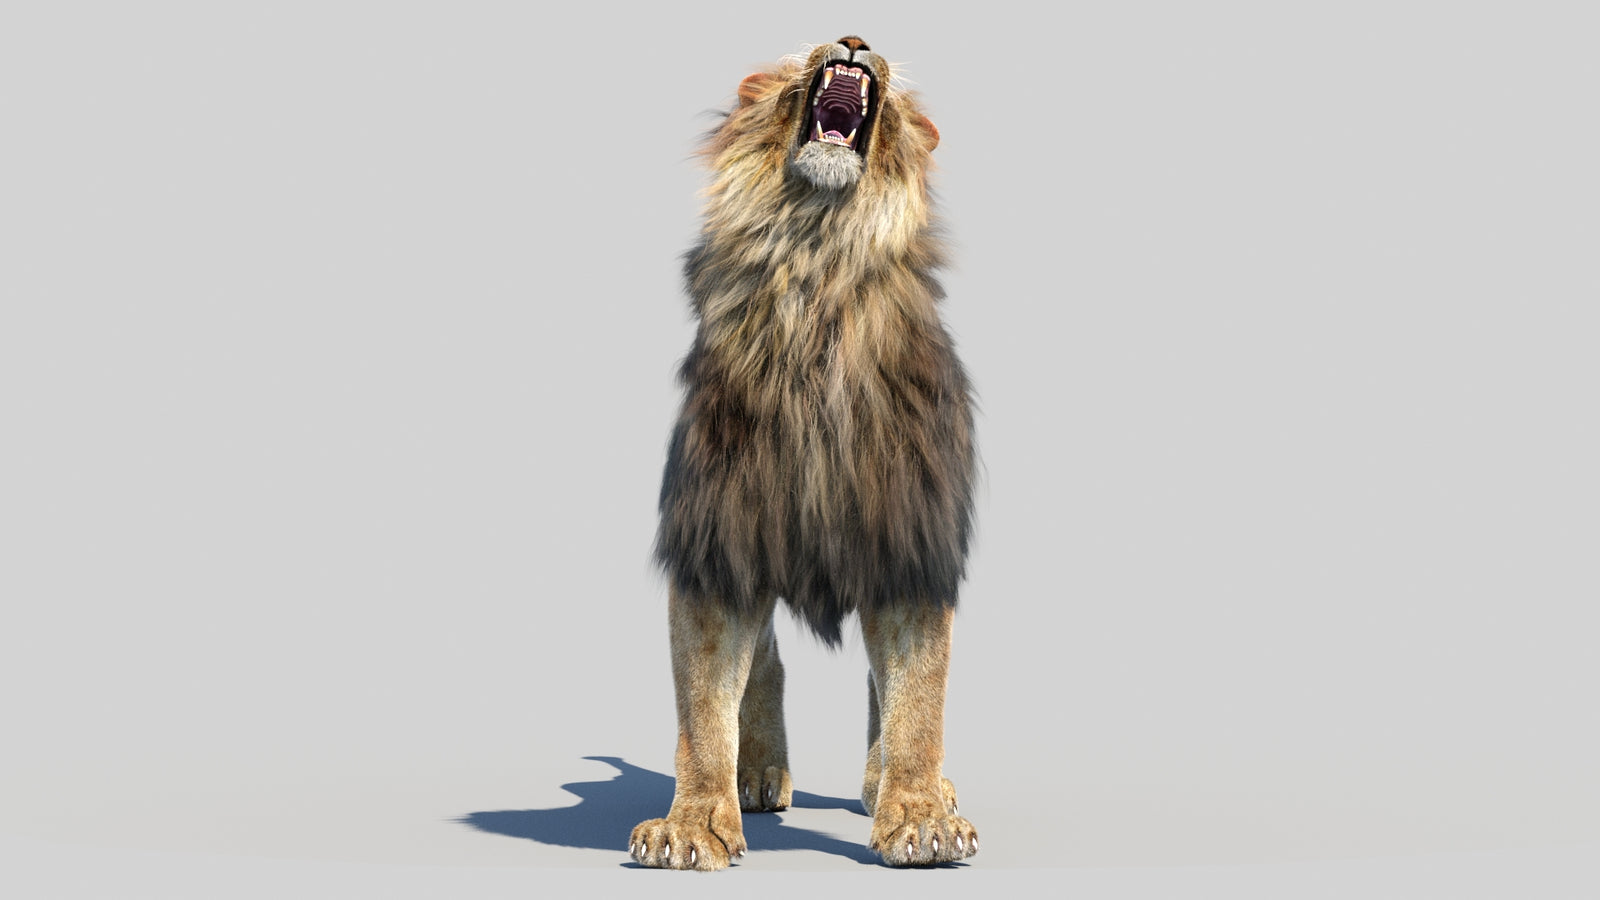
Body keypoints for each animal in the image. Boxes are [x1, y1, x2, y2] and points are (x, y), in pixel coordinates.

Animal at [630, 36, 978, 870]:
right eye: (794, 65)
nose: (853, 40)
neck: (816, 263)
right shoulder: (717, 541)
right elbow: (703, 705)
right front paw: (693, 824)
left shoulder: (910, 543)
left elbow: (918, 697)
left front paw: (919, 817)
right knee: (766, 659)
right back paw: (757, 773)